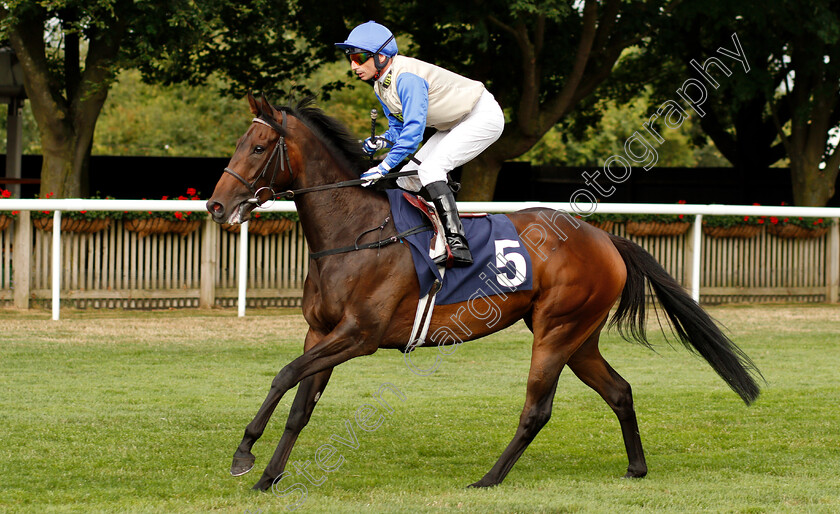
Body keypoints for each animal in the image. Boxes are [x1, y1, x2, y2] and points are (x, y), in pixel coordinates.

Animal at [205, 94, 760, 490]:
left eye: (258, 148)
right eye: (238, 145)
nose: (216, 205)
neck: (356, 232)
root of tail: (603, 237)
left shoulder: (358, 336)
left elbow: (283, 375)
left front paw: (243, 454)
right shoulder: (320, 332)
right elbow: (301, 403)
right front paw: (268, 477)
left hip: (557, 331)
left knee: (537, 409)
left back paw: (490, 478)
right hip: (579, 336)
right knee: (619, 391)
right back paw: (636, 467)